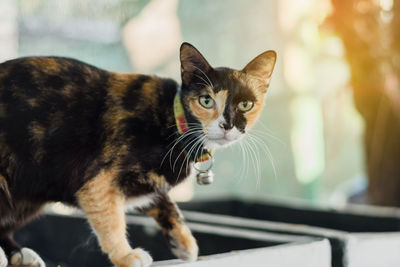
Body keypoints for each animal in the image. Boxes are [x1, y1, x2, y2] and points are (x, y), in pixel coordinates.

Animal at [0, 43, 276, 266]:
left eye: (246, 104)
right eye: (206, 101)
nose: (226, 125)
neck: (173, 121)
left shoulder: (147, 181)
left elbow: (163, 201)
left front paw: (184, 242)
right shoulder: (97, 181)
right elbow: (111, 220)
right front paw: (125, 255)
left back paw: (20, 255)